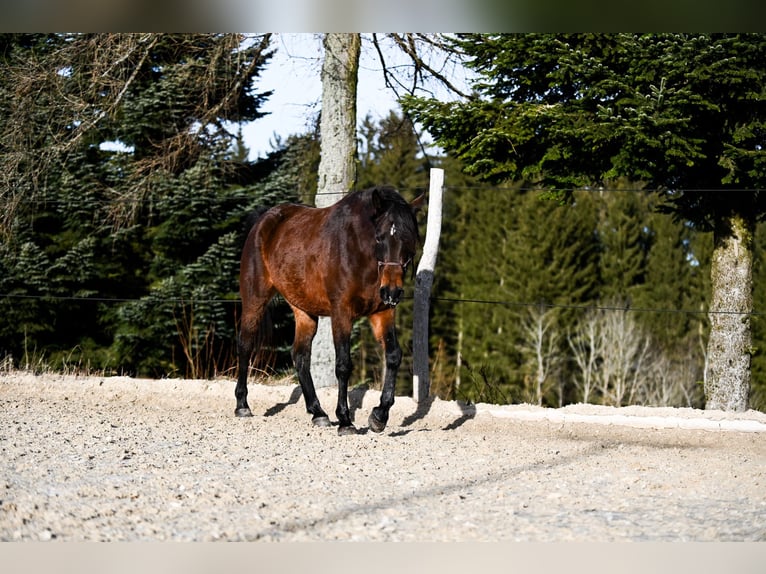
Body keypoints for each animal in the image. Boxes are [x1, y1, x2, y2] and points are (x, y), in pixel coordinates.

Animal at [234, 186, 426, 436]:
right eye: (379, 237)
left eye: (410, 239)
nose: (392, 291)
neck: (360, 253)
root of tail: (262, 221)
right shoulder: (341, 313)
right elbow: (343, 365)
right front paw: (345, 420)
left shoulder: (383, 312)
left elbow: (393, 356)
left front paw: (379, 416)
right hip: (254, 300)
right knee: (245, 345)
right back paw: (242, 405)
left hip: (304, 310)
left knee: (300, 356)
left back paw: (318, 413)